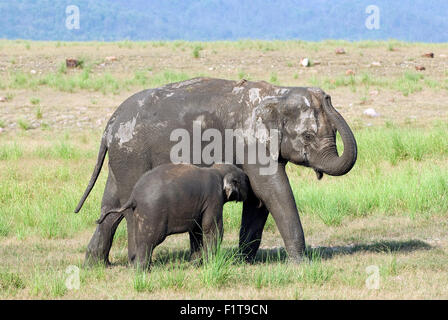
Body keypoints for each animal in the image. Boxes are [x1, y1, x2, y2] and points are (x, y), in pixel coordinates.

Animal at [97, 164, 248, 268]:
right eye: (246, 181)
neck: (218, 170)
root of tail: (133, 196)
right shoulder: (213, 198)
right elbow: (212, 228)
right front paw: (210, 263)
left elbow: (197, 231)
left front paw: (195, 264)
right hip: (153, 213)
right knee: (149, 241)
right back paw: (142, 270)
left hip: (140, 214)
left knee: (139, 238)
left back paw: (138, 268)